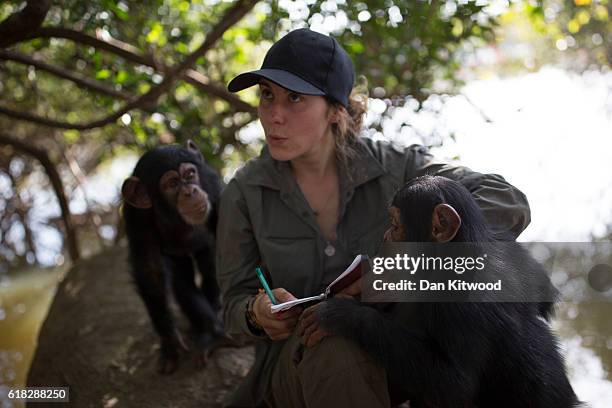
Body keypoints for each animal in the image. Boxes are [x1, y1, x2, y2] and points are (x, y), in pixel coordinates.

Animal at [123, 139, 228, 372]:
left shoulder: (213, 186)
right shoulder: (136, 217)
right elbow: (151, 270)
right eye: (171, 184)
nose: (190, 191)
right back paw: (206, 331)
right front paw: (170, 341)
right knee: (182, 281)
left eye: (190, 174)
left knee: (209, 267)